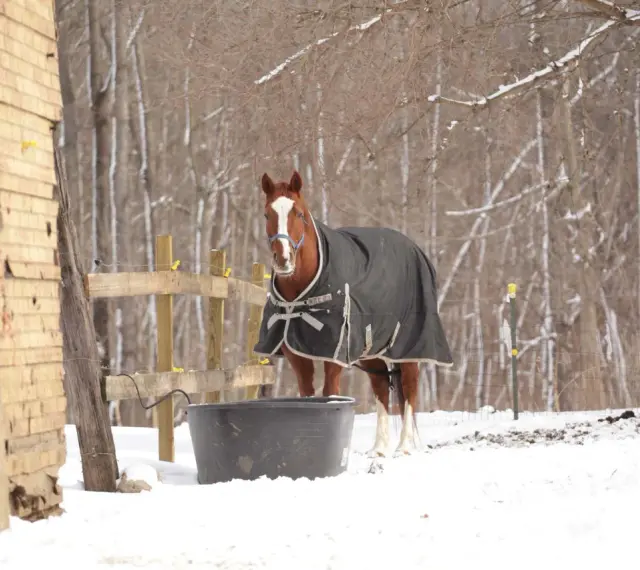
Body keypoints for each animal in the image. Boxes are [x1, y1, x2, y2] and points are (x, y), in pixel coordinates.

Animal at [253, 170, 453, 457]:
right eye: (267, 214)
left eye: (299, 214)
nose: (283, 259)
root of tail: (415, 250)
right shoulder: (297, 355)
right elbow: (307, 395)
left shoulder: (334, 356)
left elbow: (330, 394)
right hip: (372, 352)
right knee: (381, 388)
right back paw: (378, 448)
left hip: (409, 348)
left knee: (410, 388)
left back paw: (403, 447)